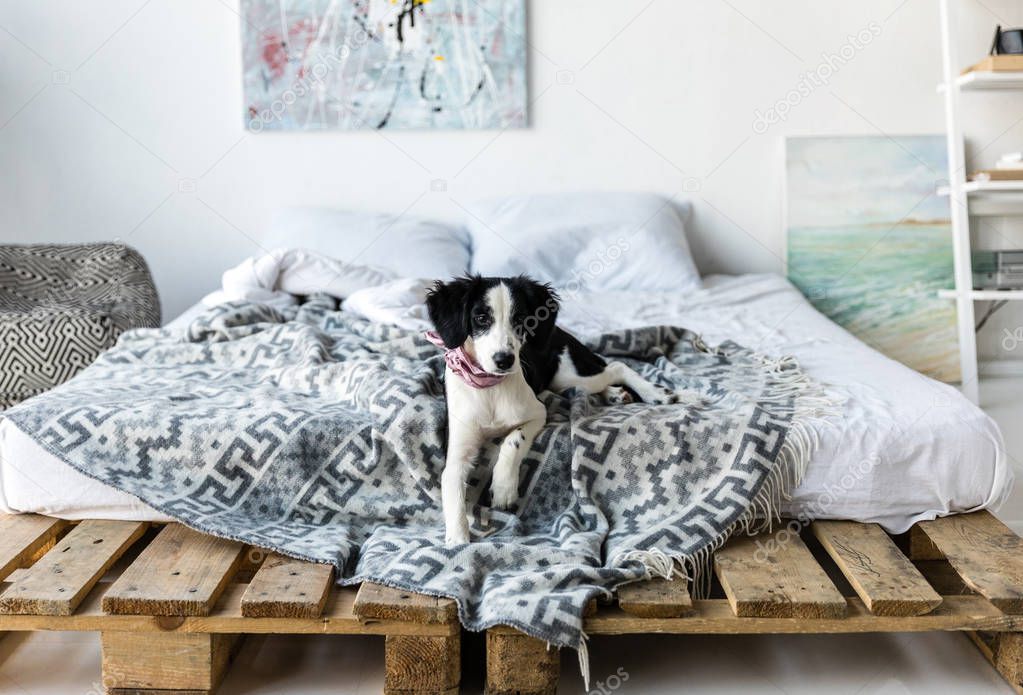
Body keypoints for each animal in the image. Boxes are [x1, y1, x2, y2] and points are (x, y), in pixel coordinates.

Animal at [425, 274, 675, 544]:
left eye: (521, 320)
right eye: (481, 318)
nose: (505, 360)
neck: (490, 387)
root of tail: (561, 332)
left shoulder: (537, 412)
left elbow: (513, 440)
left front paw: (503, 487)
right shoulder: (458, 449)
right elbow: (452, 489)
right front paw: (458, 542)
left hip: (567, 375)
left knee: (616, 367)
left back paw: (654, 393)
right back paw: (615, 393)